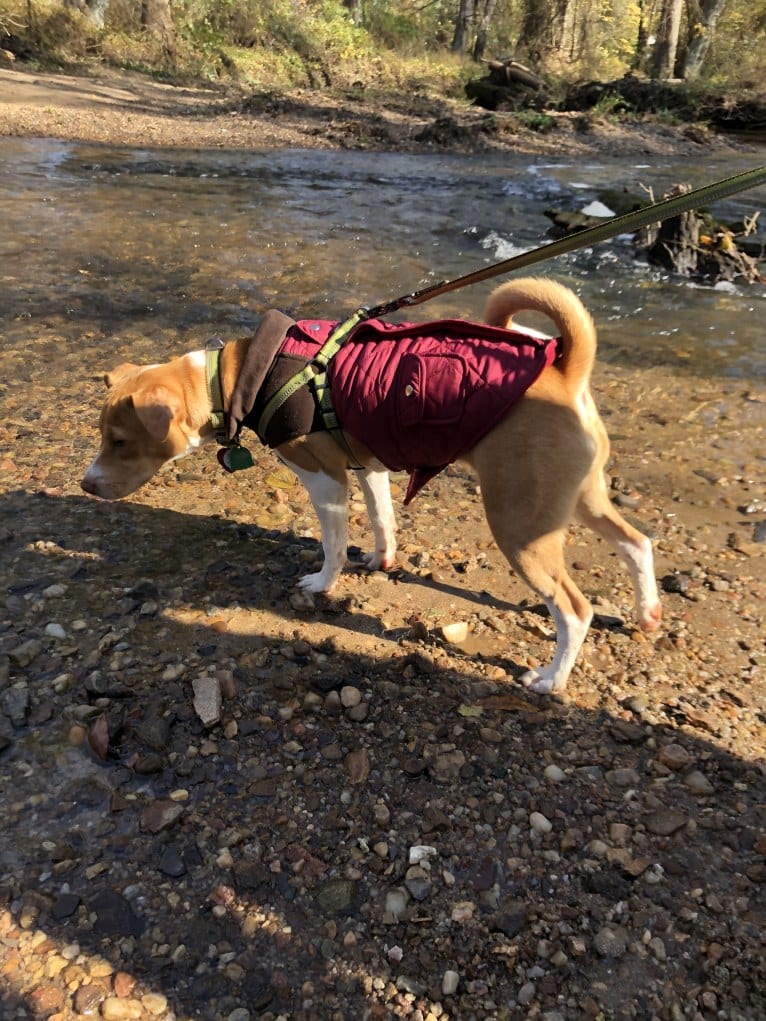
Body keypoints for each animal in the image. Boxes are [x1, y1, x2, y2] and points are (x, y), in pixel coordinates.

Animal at [82, 279, 661, 694]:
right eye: (104, 437)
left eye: (119, 441)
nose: (86, 486)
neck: (241, 376)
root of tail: (565, 371)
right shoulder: (370, 467)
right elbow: (383, 519)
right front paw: (382, 561)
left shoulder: (325, 481)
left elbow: (333, 545)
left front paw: (322, 584)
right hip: (577, 499)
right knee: (638, 543)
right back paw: (647, 613)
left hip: (520, 524)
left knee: (575, 610)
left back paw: (552, 679)